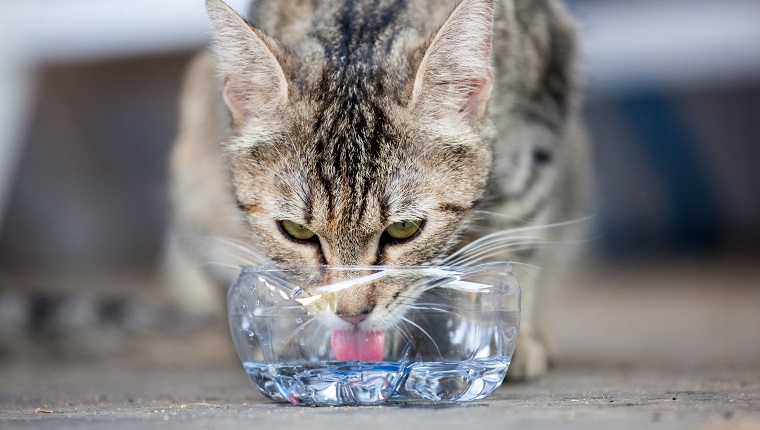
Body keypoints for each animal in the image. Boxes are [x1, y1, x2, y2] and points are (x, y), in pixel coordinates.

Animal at [169, 0, 592, 380]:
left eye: (404, 229)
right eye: (297, 232)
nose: (351, 315)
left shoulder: (539, 130)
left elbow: (516, 238)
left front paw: (498, 334)